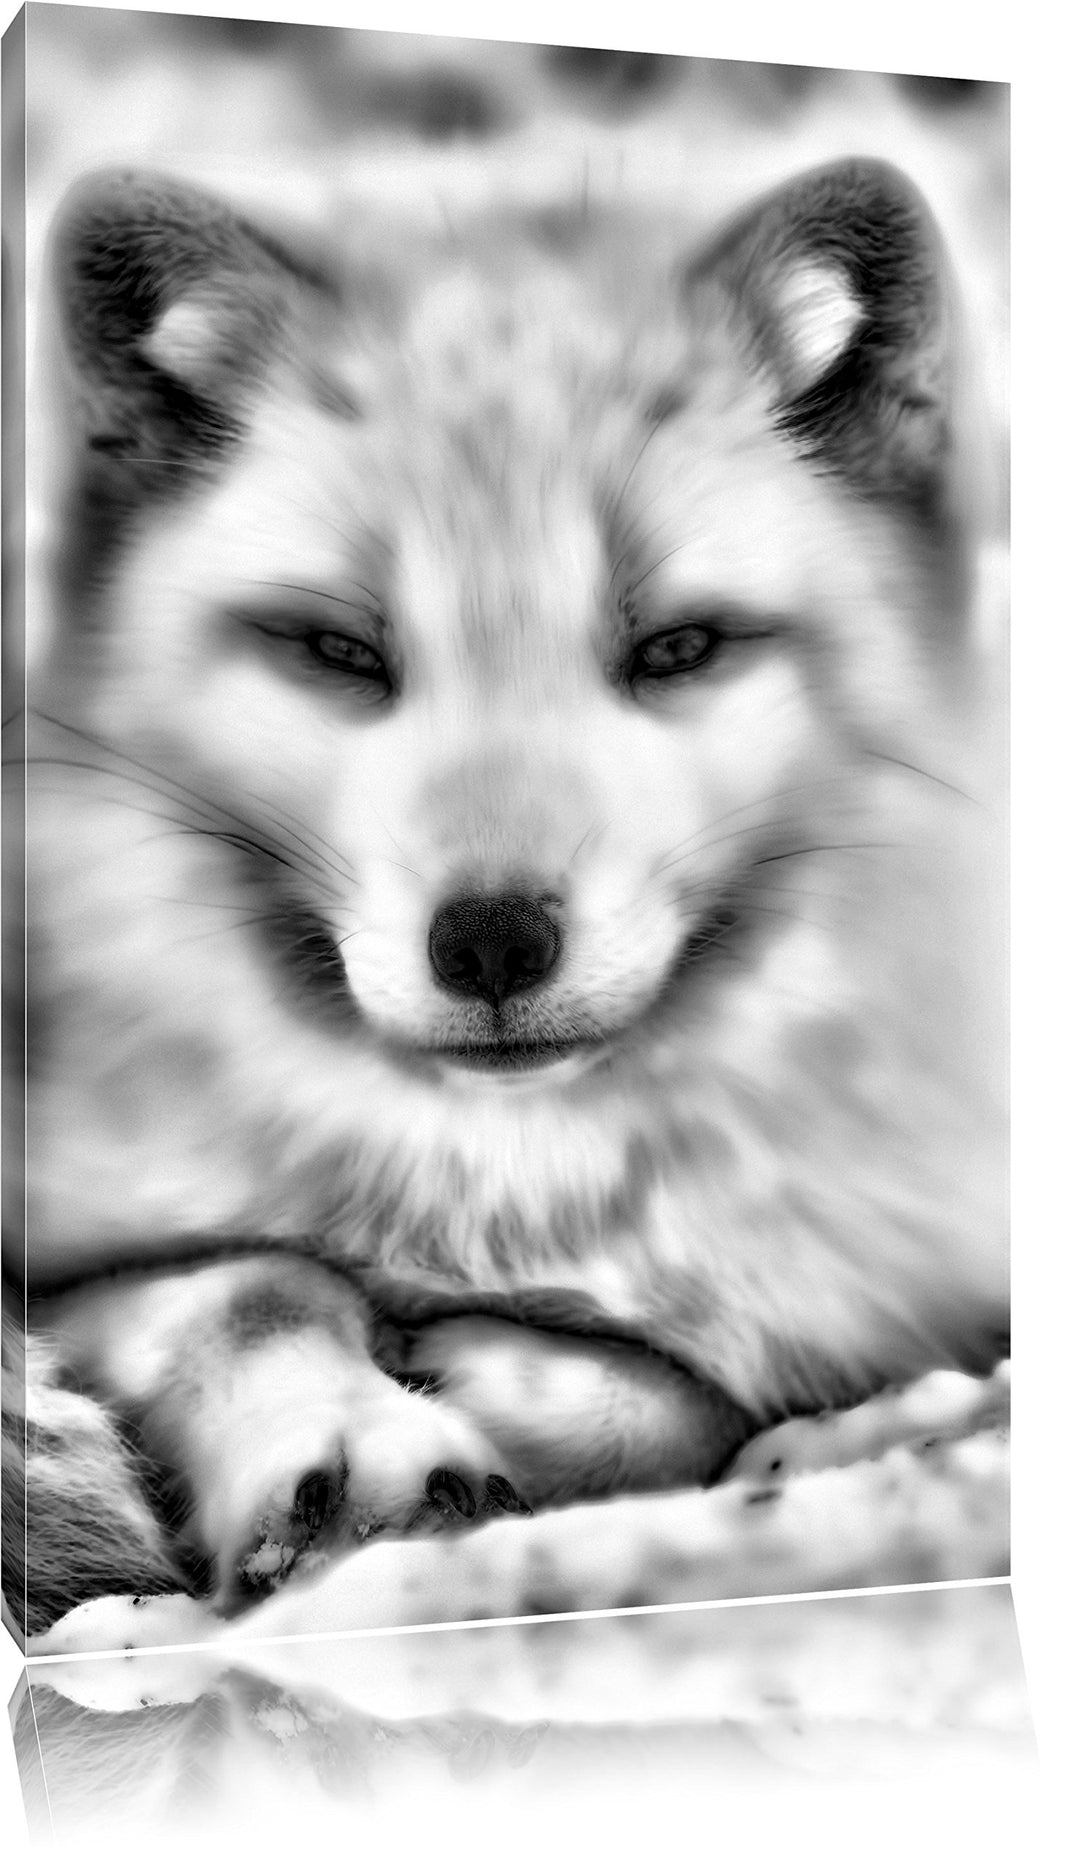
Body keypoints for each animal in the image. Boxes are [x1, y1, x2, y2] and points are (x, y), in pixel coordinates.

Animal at [4, 152, 1008, 1643]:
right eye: (339, 651)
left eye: (680, 648)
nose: (489, 944)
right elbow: (256, 1280)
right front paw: (355, 1443)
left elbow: (691, 1393)